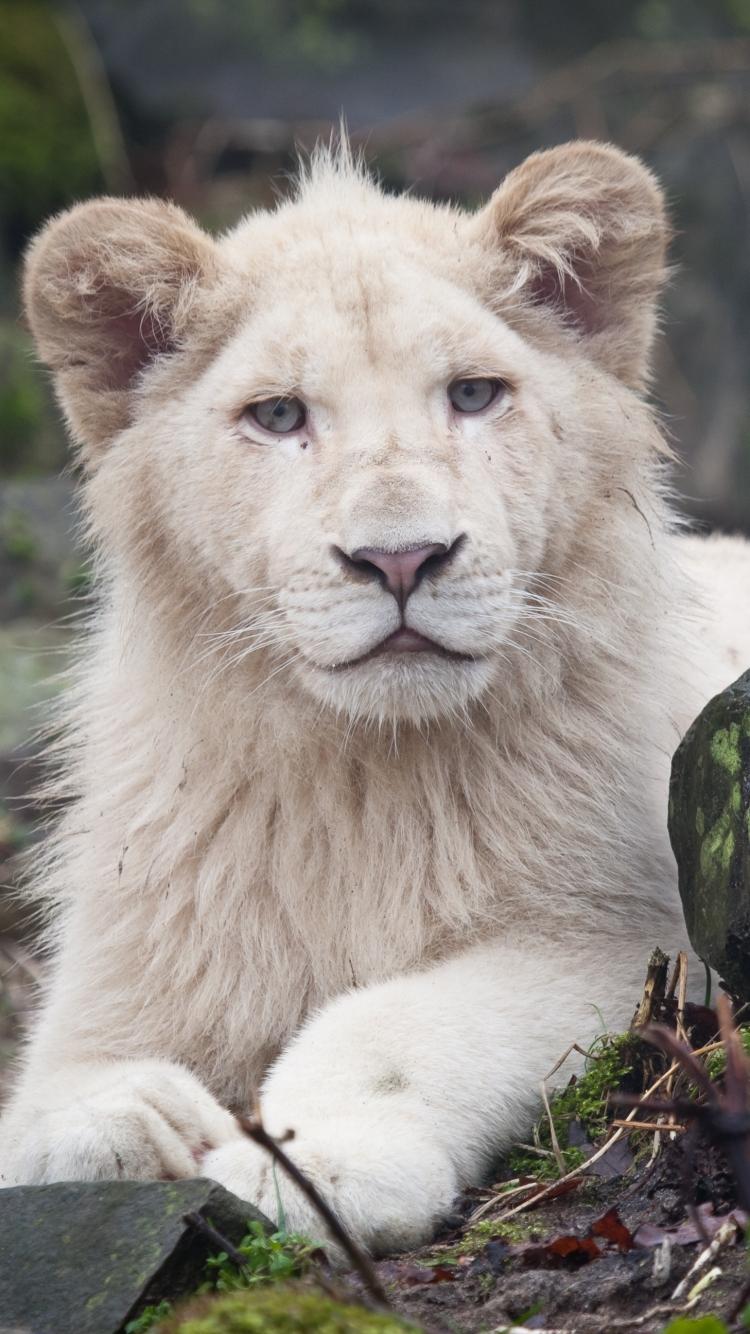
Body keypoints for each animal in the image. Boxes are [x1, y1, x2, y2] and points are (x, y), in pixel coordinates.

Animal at [0, 139, 748, 1255]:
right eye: (278, 415)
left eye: (474, 394)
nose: (401, 558)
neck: (362, 774)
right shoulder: (139, 943)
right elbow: (51, 1086)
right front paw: (116, 1114)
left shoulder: (629, 934)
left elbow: (396, 1020)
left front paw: (319, 1156)